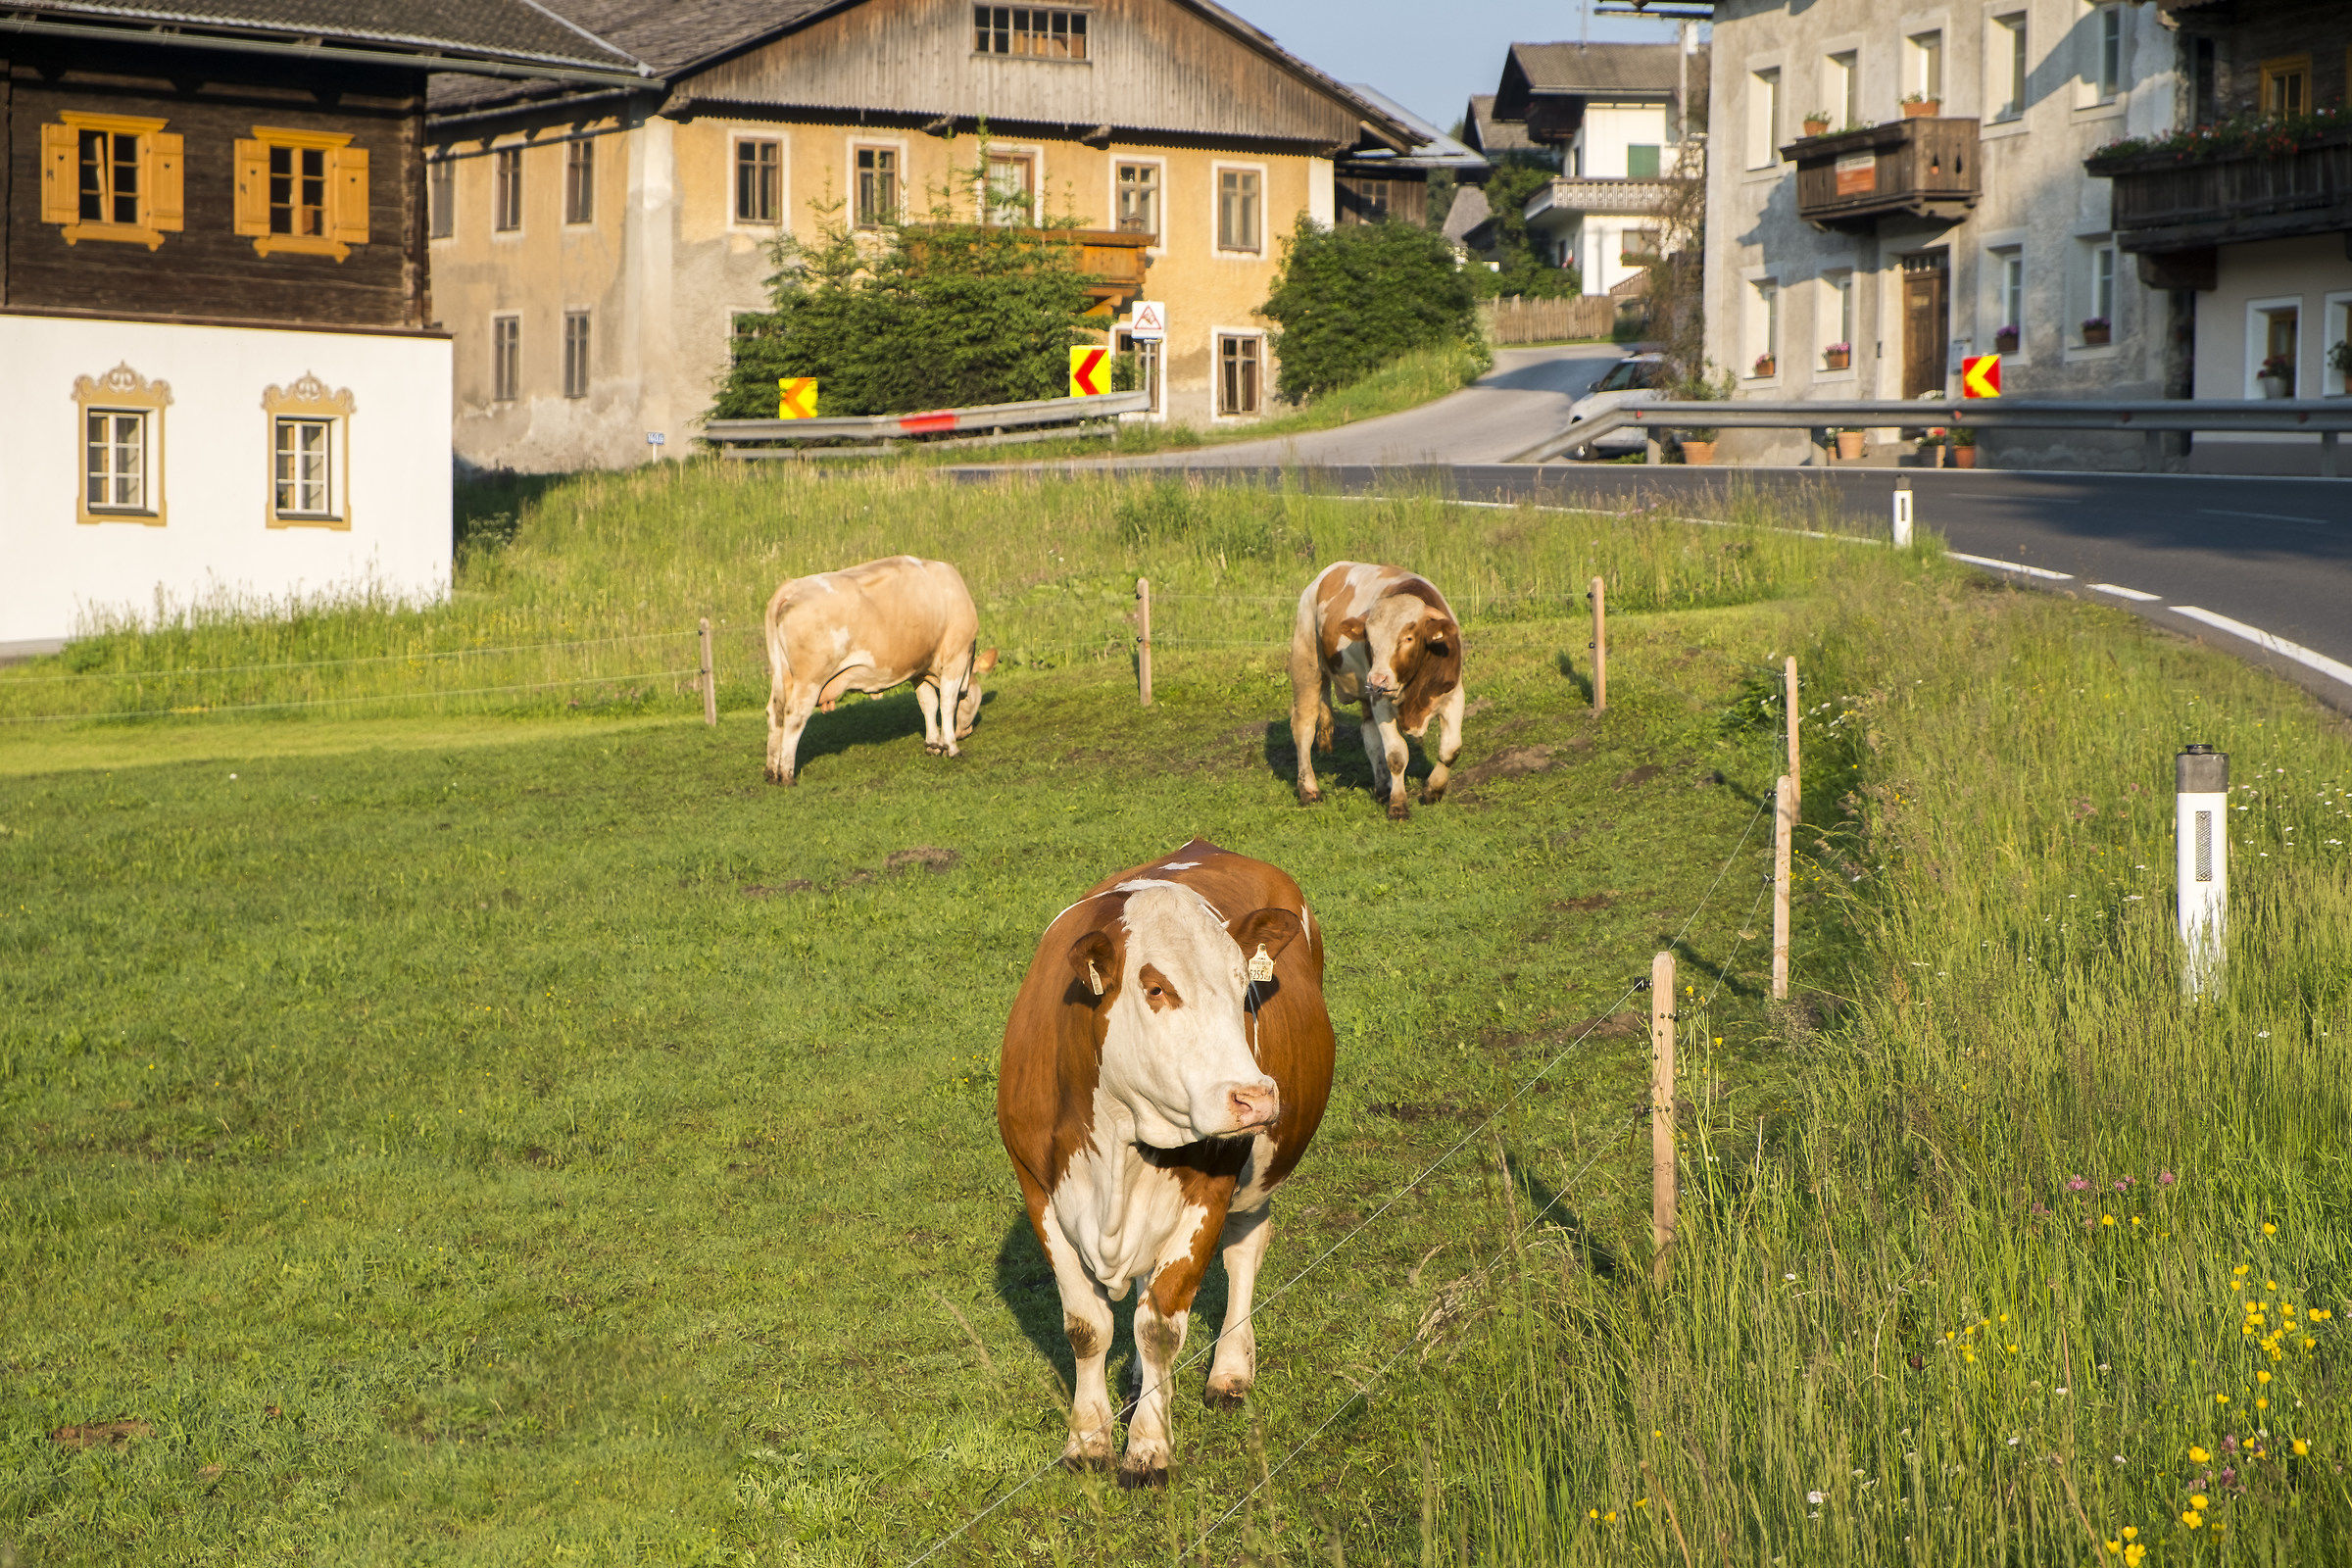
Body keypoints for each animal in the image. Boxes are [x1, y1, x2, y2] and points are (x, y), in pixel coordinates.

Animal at [762, 555, 997, 785]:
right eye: (975, 699)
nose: (966, 731)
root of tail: (791, 587)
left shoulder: (918, 669)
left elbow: (928, 703)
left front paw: (933, 744)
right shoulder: (954, 657)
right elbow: (948, 703)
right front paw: (951, 747)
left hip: (782, 675)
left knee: (775, 713)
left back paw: (772, 772)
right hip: (810, 679)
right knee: (795, 716)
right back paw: (787, 776)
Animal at [997, 840, 1335, 1487]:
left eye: (1244, 987)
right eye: (1155, 988)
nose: (1256, 1098)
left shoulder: (1210, 1192)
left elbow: (1159, 1325)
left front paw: (1149, 1447)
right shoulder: (1039, 1190)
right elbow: (1087, 1327)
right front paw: (1088, 1440)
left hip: (1256, 1178)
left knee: (1244, 1251)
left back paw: (1229, 1370)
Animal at [1287, 561, 1465, 819]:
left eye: (1408, 637)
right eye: (1369, 641)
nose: (1378, 679)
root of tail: (1329, 571)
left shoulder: (1454, 696)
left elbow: (1450, 750)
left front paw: (1433, 790)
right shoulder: (1380, 703)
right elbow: (1396, 755)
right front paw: (1398, 805)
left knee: (1369, 736)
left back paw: (1382, 788)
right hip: (1306, 662)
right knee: (1304, 727)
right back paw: (1309, 790)